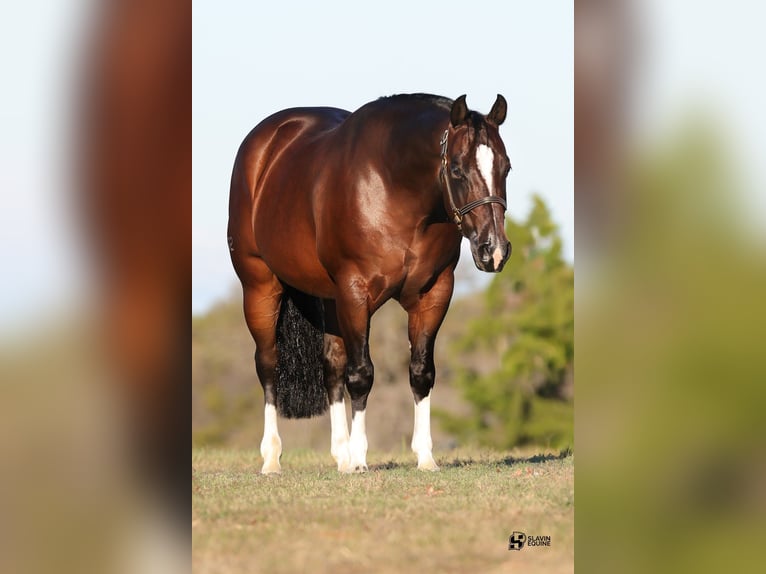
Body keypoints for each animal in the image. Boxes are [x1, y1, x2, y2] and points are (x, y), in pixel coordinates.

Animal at [227, 93, 512, 474]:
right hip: (260, 288)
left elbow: (421, 372)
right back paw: (273, 459)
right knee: (269, 365)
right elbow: (361, 373)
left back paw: (341, 456)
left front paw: (424, 457)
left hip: (328, 300)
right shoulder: (355, 292)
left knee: (331, 367)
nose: (493, 250)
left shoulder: (434, 293)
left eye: (506, 167)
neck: (394, 190)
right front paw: (361, 458)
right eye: (456, 169)